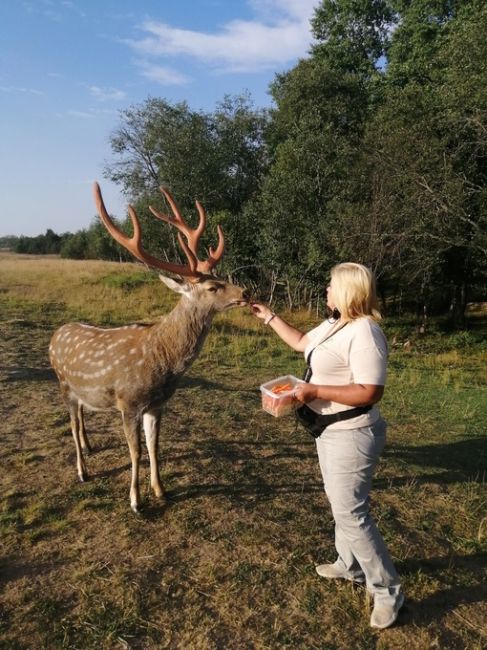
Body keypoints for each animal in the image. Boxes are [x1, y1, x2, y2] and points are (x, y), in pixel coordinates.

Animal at [48, 182, 252, 512]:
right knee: (72, 424)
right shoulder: (128, 403)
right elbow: (136, 451)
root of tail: (55, 336)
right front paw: (135, 500)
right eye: (212, 287)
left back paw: (90, 449)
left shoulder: (157, 404)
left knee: (81, 418)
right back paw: (82, 470)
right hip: (63, 384)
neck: (163, 363)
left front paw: (161, 491)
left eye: (221, 277)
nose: (245, 292)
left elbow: (155, 447)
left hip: (80, 391)